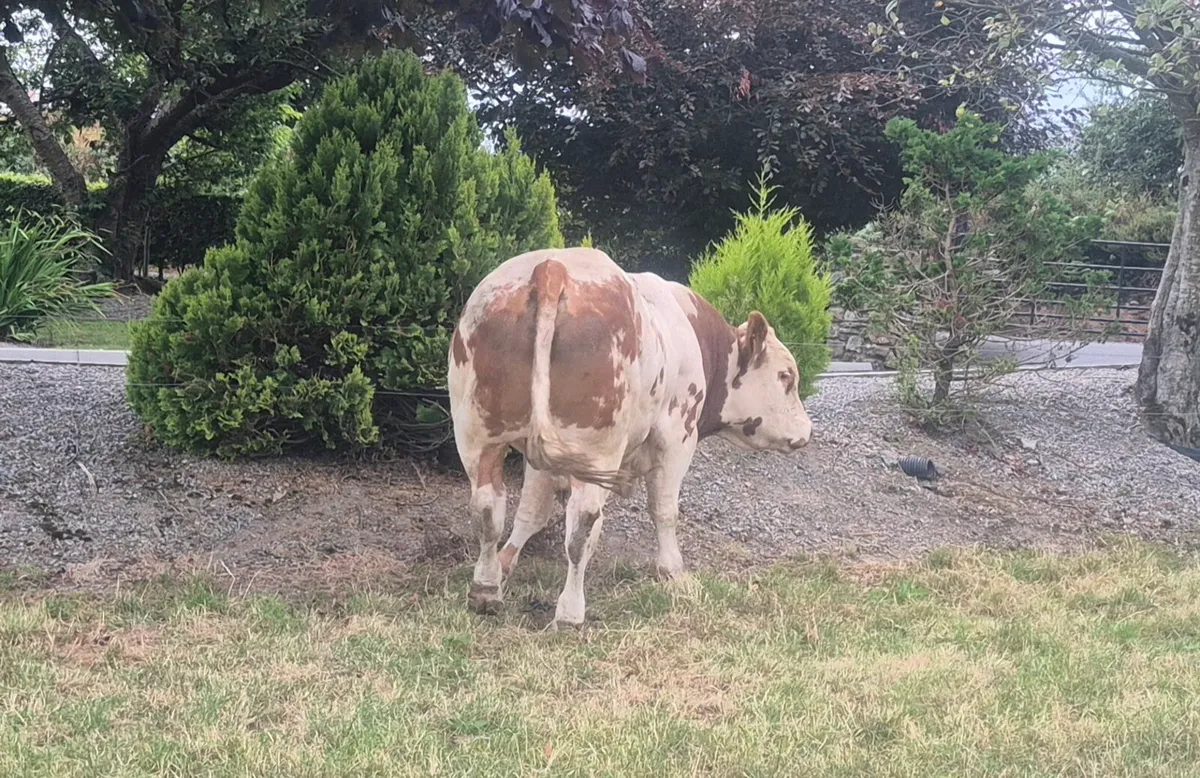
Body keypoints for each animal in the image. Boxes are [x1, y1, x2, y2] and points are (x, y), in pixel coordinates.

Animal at [447, 247, 812, 626]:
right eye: (786, 376)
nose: (806, 431)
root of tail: (552, 267)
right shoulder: (678, 437)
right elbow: (664, 510)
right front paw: (673, 571)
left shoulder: (540, 458)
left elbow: (531, 511)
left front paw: (504, 566)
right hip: (593, 448)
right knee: (581, 522)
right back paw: (570, 612)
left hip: (479, 435)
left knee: (488, 508)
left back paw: (485, 590)